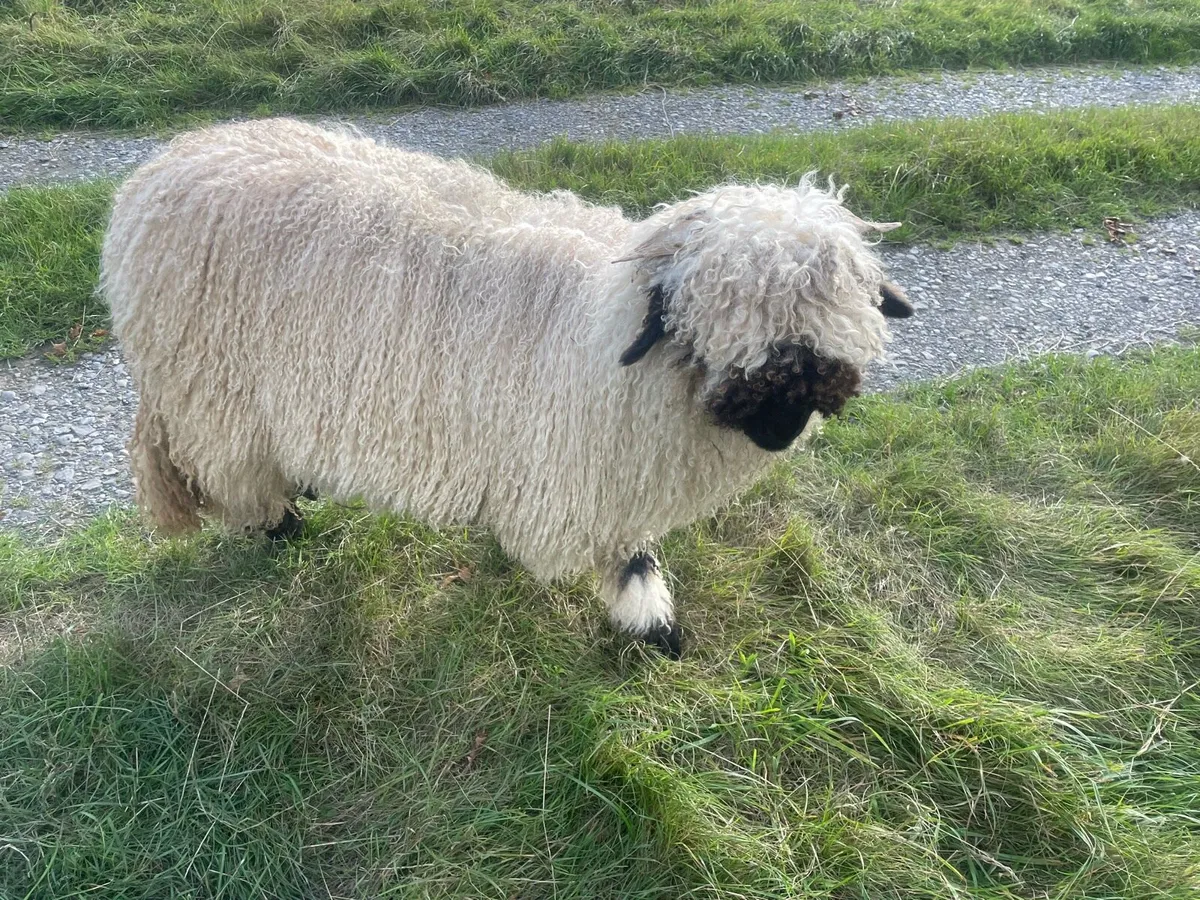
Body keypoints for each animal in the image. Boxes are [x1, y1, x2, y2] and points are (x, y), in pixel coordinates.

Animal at [100, 118, 913, 658]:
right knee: (233, 474)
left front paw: (651, 619)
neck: (610, 337)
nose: (781, 428)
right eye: (712, 330)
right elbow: (624, 552)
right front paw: (651, 620)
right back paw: (278, 523)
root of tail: (168, 161)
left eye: (829, 340)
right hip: (211, 393)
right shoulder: (585, 468)